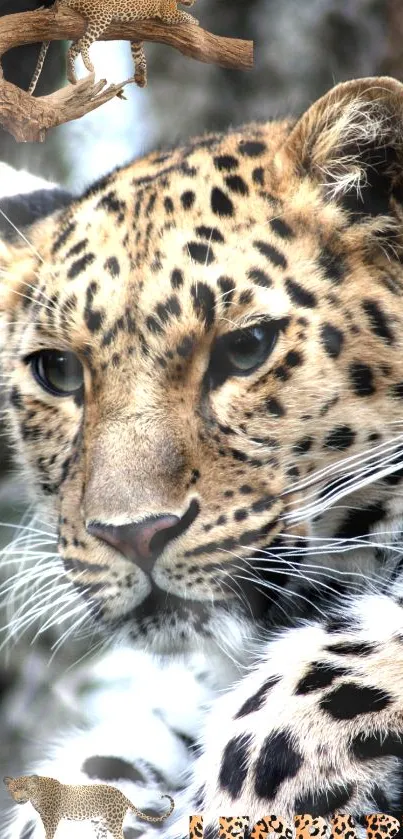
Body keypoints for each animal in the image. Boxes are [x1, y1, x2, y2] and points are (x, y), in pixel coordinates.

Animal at [2, 776, 175, 839]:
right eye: (14, 790)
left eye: (26, 789)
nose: (20, 798)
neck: (36, 795)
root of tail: (122, 794)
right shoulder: (44, 817)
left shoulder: (51, 817)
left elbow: (49, 834)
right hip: (100, 824)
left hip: (113, 821)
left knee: (120, 836)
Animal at [28, 0, 199, 94]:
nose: (194, 2)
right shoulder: (168, 13)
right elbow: (183, 14)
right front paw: (195, 21)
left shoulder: (136, 38)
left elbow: (140, 56)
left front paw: (142, 76)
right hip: (102, 15)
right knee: (84, 43)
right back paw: (89, 65)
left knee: (72, 49)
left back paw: (71, 76)